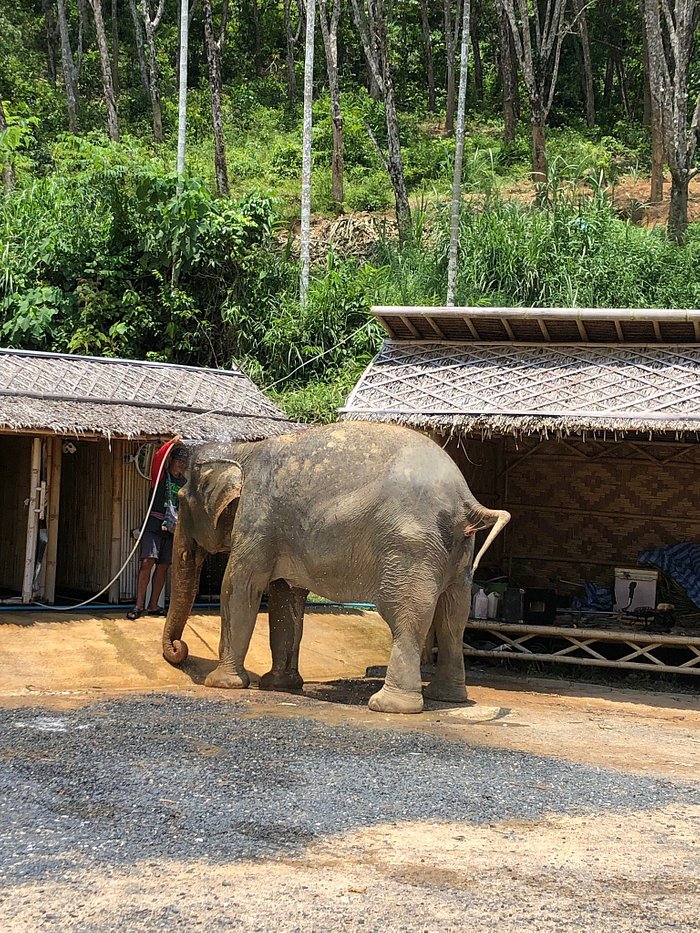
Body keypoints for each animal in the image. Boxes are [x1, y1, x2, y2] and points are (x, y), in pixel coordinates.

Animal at [163, 422, 508, 712]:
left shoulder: (257, 521)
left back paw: (388, 706)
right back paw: (448, 698)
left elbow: (239, 587)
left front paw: (222, 684)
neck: (242, 451)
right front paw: (280, 685)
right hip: (458, 552)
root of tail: (465, 498)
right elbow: (285, 599)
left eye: (180, 499)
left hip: (410, 547)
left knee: (406, 615)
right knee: (453, 617)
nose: (179, 648)